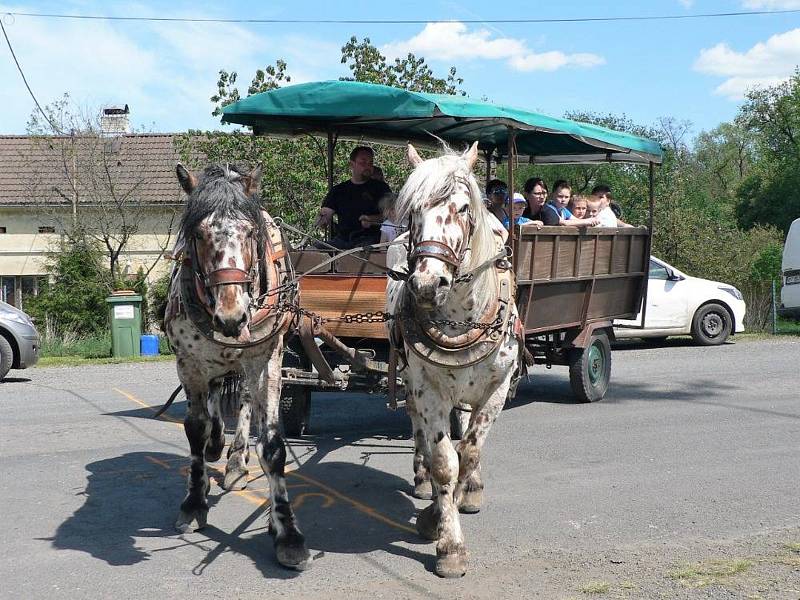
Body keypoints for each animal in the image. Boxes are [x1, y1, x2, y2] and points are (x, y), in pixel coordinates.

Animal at [164, 164, 308, 572]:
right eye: (198, 234)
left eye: (249, 232)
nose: (232, 316)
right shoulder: (189, 363)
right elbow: (195, 430)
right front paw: (193, 503)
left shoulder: (267, 359)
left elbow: (272, 445)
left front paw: (286, 531)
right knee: (214, 401)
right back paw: (217, 449)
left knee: (242, 399)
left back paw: (236, 463)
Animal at [386, 143, 520, 580]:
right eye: (414, 209)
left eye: (463, 208)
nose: (428, 284)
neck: (462, 318)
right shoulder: (427, 387)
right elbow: (445, 461)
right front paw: (446, 539)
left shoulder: (498, 387)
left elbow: (469, 452)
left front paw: (462, 496)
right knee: (423, 434)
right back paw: (422, 476)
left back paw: (471, 489)